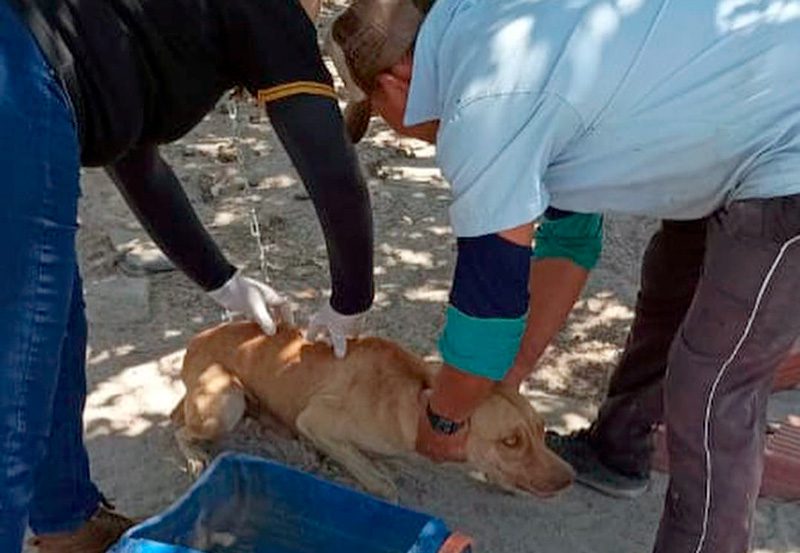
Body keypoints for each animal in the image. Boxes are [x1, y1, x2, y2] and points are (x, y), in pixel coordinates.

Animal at [173, 320, 576, 496]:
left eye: (542, 432)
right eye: (510, 441)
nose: (569, 478)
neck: (414, 400)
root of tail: (196, 340)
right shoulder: (315, 421)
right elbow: (382, 484)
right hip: (225, 400)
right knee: (179, 429)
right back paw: (195, 457)